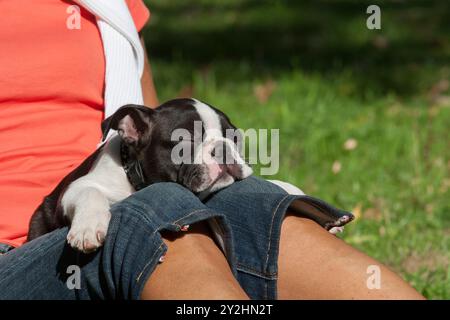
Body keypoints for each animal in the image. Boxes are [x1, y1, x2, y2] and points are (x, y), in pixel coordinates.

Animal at [27, 98, 264, 252]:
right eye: (186, 140)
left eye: (234, 136)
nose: (223, 148)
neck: (135, 181)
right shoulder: (74, 187)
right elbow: (90, 192)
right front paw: (88, 227)